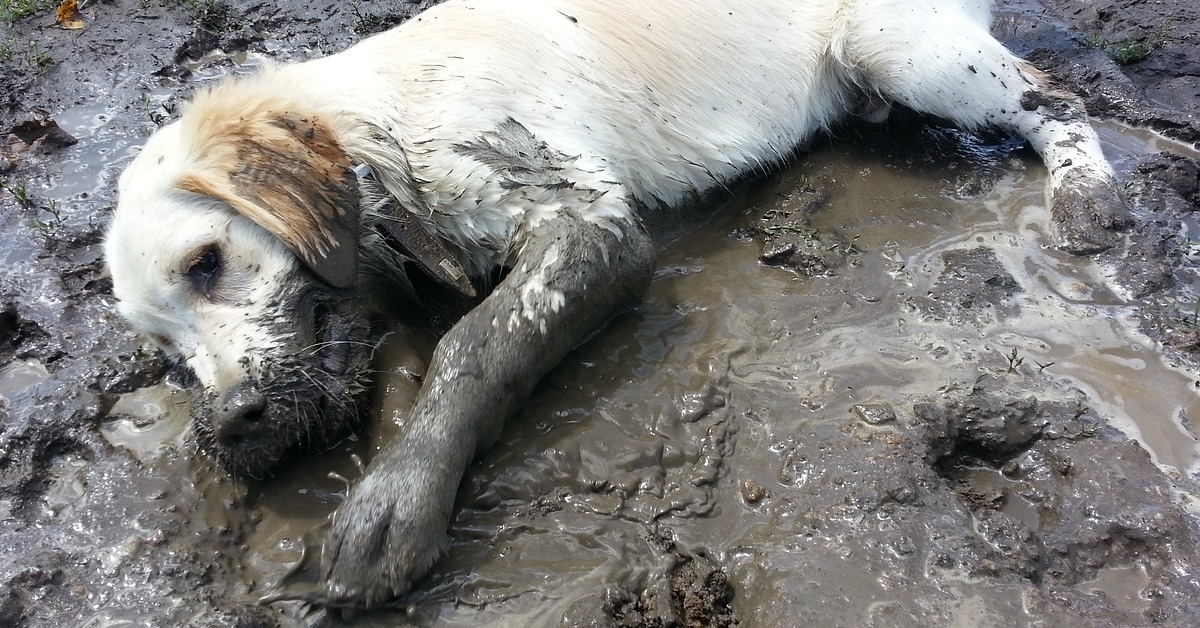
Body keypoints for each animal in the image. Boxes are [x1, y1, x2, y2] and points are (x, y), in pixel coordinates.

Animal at [100, 0, 1123, 612]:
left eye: (207, 262)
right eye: (165, 355)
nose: (232, 423)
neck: (391, 126)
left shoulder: (586, 222)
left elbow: (475, 347)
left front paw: (393, 510)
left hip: (904, 45)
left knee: (1056, 95)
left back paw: (1087, 200)